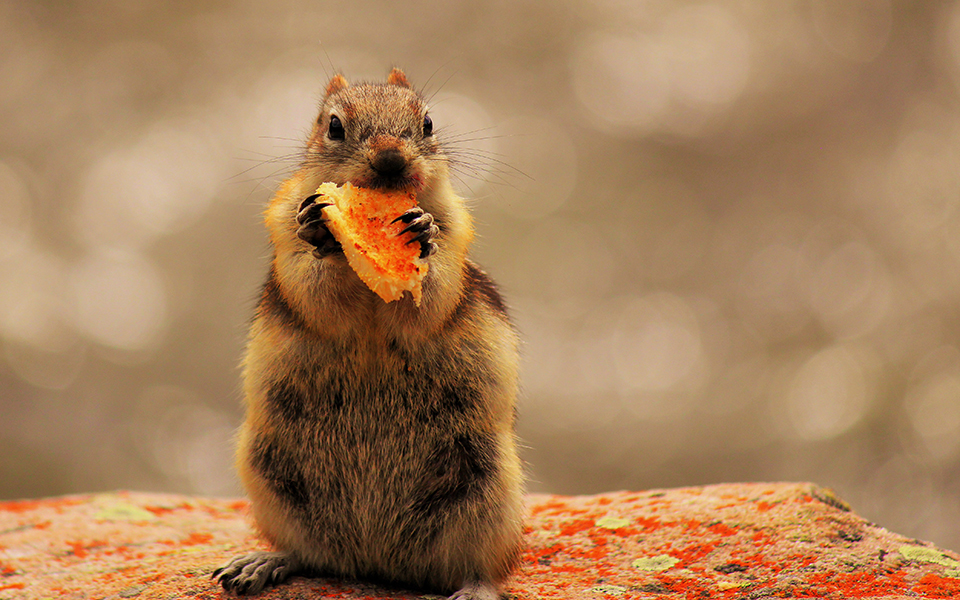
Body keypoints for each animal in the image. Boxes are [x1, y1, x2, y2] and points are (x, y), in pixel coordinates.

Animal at [214, 68, 524, 596]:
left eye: (428, 123)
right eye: (334, 126)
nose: (390, 158)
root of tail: (375, 564)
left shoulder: (457, 239)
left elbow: (431, 296)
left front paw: (422, 233)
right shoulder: (284, 236)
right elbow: (315, 288)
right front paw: (319, 230)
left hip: (487, 487)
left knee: (480, 563)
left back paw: (474, 587)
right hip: (269, 474)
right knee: (309, 555)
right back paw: (261, 562)